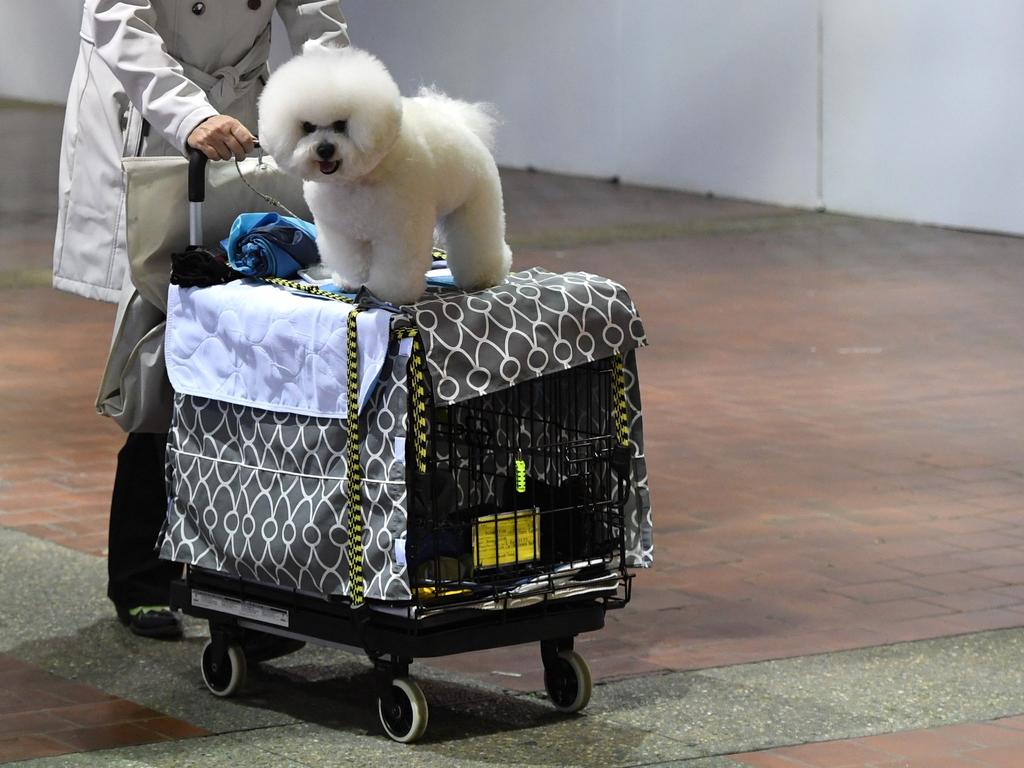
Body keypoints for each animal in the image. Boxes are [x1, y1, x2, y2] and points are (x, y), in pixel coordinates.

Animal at [256, 45, 512, 307]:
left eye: (341, 124)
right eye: (307, 127)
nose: (324, 149)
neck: (356, 179)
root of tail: (465, 127)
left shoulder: (399, 230)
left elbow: (397, 266)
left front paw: (390, 293)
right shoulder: (342, 232)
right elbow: (351, 259)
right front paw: (352, 282)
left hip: (474, 206)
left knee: (477, 241)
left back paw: (484, 276)